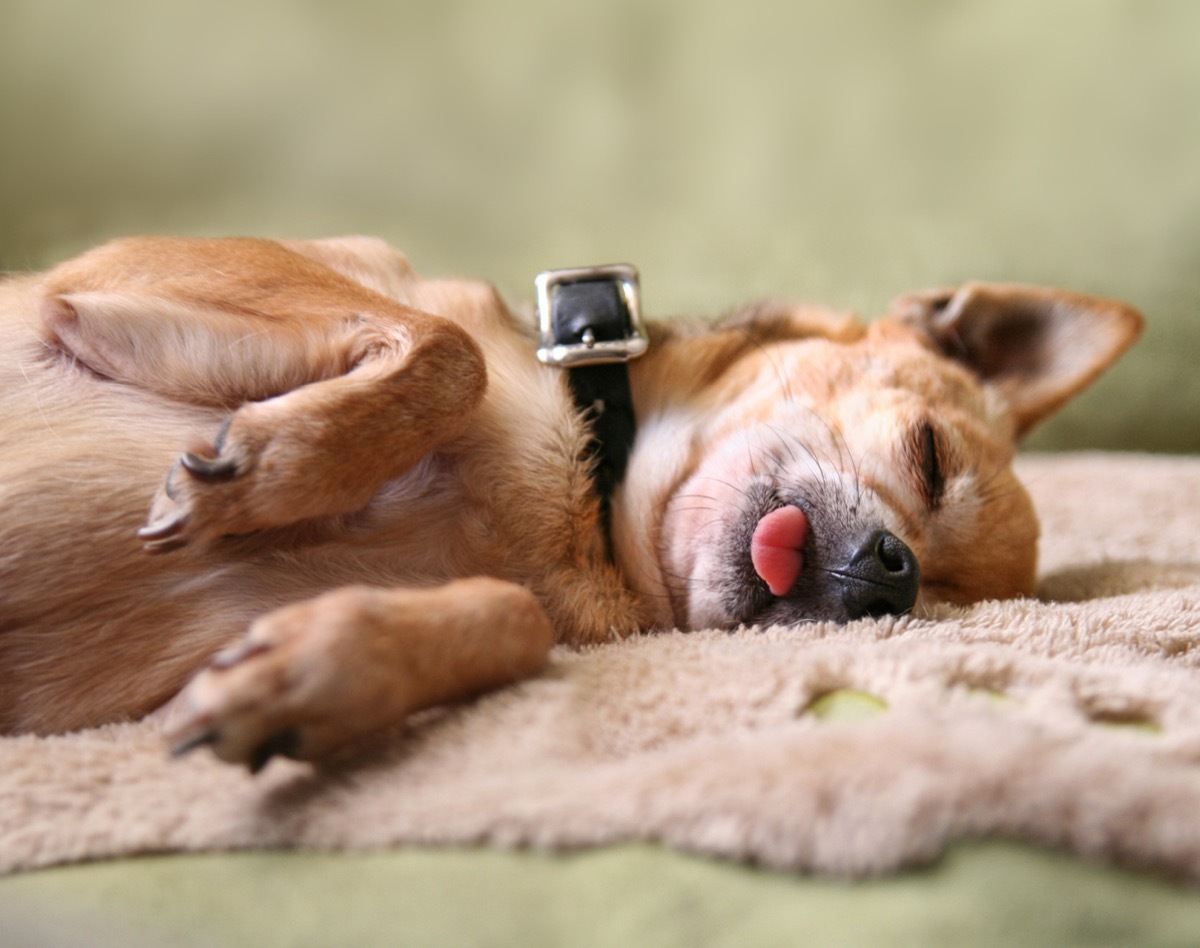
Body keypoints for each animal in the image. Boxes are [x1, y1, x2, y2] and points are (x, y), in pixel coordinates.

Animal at [0, 237, 1142, 772]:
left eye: (933, 607)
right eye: (930, 456)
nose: (893, 579)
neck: (587, 511)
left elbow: (508, 619)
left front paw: (317, 674)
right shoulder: (115, 274)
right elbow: (446, 350)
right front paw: (273, 466)